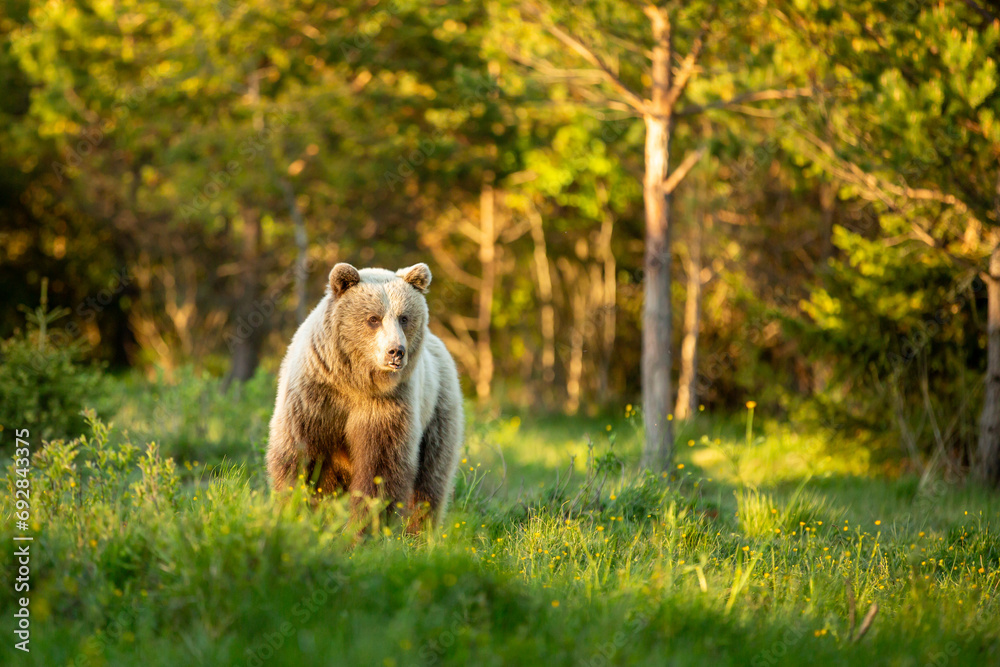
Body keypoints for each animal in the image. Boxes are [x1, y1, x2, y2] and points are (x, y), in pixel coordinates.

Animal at [265, 262, 464, 531]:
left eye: (404, 317)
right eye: (373, 318)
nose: (396, 351)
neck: (354, 381)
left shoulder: (386, 405)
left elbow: (381, 466)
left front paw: (366, 528)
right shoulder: (314, 398)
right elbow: (297, 456)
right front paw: (294, 512)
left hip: (438, 409)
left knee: (431, 479)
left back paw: (419, 532)